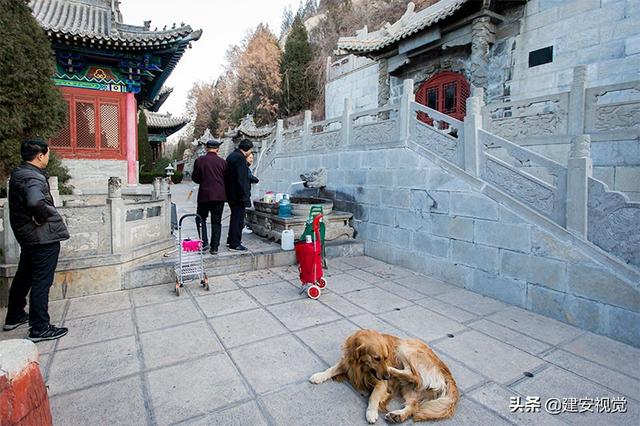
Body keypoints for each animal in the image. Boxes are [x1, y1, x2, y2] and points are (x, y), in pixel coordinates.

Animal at [312, 330, 458, 422]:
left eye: (386, 357)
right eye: (376, 358)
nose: (387, 377)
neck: (362, 367)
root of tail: (445, 371)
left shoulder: (381, 383)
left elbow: (374, 396)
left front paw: (371, 412)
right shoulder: (348, 364)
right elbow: (331, 369)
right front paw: (318, 376)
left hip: (405, 346)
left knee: (415, 376)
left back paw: (393, 370)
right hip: (408, 388)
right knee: (413, 405)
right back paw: (398, 416)